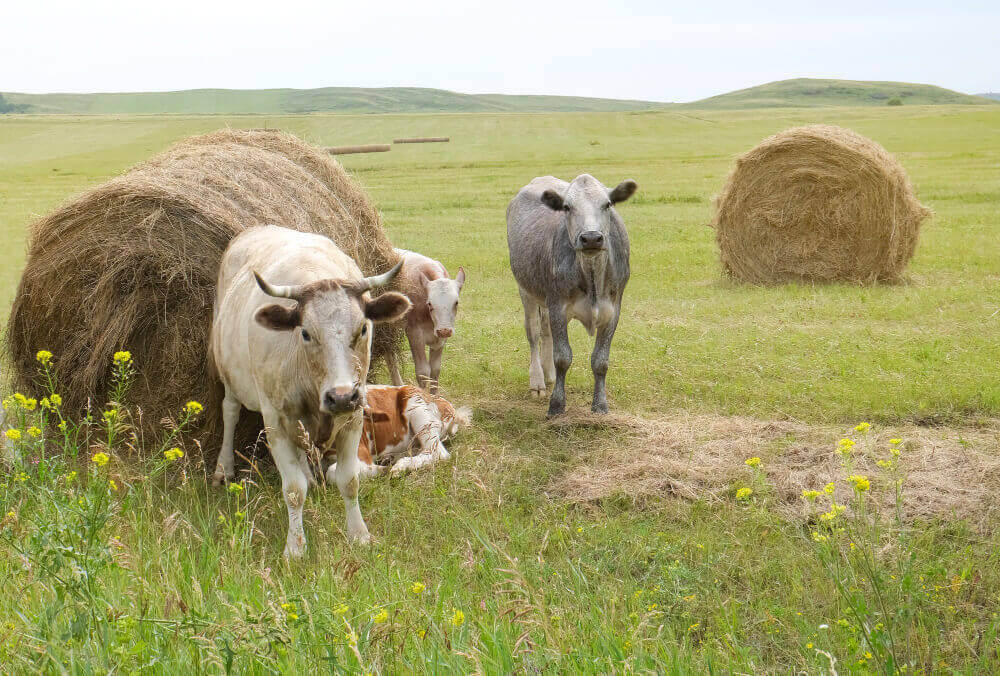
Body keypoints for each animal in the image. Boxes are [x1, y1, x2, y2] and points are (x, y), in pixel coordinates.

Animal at [211, 224, 410, 556]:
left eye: (363, 329)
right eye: (305, 333)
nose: (340, 396)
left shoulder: (354, 416)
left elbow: (349, 480)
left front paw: (359, 535)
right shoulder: (275, 421)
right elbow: (293, 490)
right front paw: (295, 547)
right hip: (228, 373)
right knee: (229, 412)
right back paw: (223, 469)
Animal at [324, 386, 472, 480]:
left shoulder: (360, 451)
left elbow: (332, 473)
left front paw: (382, 470)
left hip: (417, 407)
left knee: (437, 452)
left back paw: (399, 466)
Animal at [384, 250, 466, 394]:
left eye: (456, 302)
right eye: (429, 303)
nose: (444, 330)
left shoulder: (440, 339)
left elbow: (435, 370)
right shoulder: (414, 333)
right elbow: (422, 372)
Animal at [504, 174, 636, 418]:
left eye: (607, 204)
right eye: (567, 207)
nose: (591, 238)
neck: (592, 278)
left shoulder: (613, 310)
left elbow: (600, 361)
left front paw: (600, 405)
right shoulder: (558, 306)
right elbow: (563, 357)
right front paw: (556, 405)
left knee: (546, 331)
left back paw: (549, 375)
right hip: (526, 291)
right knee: (534, 333)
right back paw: (538, 381)